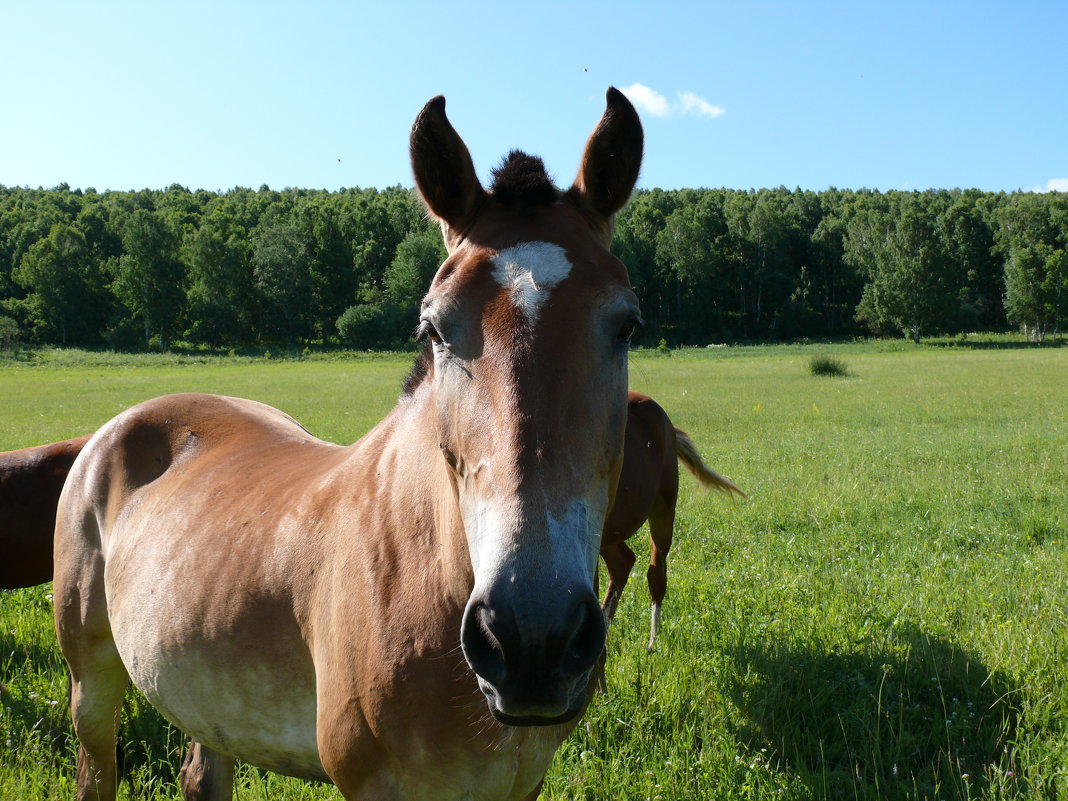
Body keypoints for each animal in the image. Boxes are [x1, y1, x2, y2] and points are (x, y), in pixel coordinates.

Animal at [52, 87, 640, 801]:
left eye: (627, 325)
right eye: (434, 327)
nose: (532, 636)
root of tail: (121, 427)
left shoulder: (520, 784)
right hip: (91, 684)